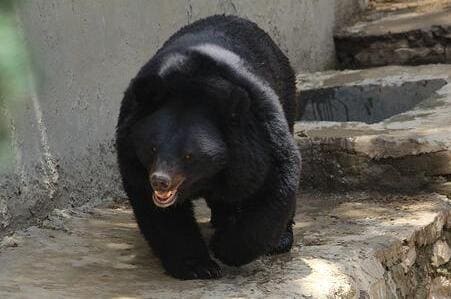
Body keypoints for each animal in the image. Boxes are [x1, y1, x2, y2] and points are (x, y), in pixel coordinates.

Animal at [116, 15, 300, 280]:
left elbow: (275, 181)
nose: (160, 181)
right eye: (152, 148)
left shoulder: (258, 133)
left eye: (189, 156)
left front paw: (225, 248)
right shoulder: (131, 148)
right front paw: (197, 266)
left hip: (286, 95)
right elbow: (158, 211)